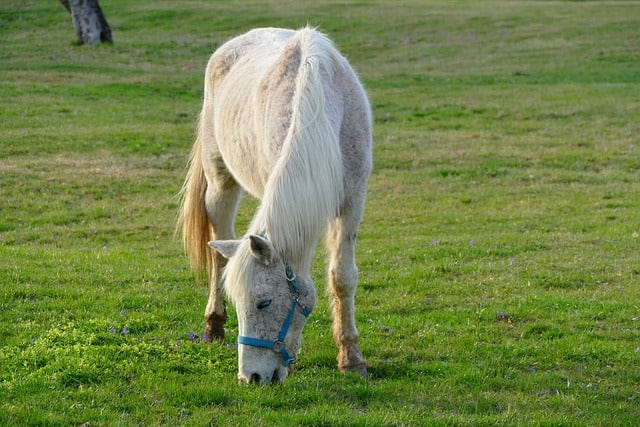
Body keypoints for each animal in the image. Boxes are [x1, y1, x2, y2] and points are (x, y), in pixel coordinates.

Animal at [177, 27, 372, 384]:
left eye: (264, 303)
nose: (251, 377)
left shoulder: (352, 202)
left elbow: (342, 277)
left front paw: (351, 359)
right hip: (220, 183)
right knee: (218, 253)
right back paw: (214, 325)